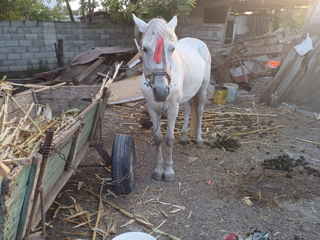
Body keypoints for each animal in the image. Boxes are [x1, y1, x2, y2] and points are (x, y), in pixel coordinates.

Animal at [131, 14, 211, 181]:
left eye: (172, 48)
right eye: (144, 49)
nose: (161, 91)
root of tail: (198, 41)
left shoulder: (173, 108)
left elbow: (169, 139)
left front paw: (168, 171)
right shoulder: (152, 108)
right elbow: (157, 138)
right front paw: (158, 170)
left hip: (202, 88)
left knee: (199, 111)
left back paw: (198, 138)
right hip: (186, 95)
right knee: (188, 109)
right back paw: (184, 137)